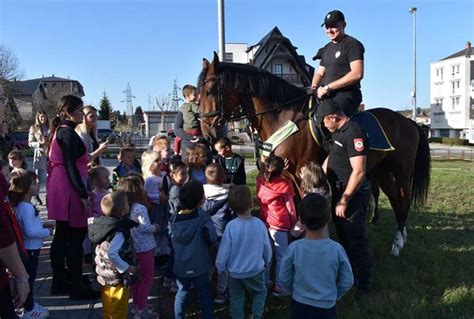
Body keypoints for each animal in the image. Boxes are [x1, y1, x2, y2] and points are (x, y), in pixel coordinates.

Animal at [198, 53, 432, 258]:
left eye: (209, 91)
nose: (208, 134)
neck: (284, 117)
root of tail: (409, 122)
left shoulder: (304, 173)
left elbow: (306, 207)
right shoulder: (288, 174)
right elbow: (293, 208)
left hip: (402, 171)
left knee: (403, 201)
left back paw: (397, 244)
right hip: (382, 171)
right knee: (395, 200)